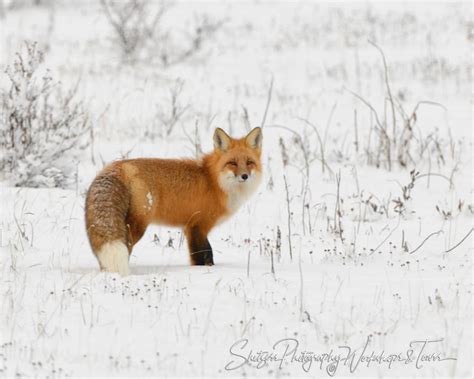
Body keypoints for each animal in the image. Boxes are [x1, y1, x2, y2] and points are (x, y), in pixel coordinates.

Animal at [85, 127, 262, 276]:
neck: (213, 181)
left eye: (249, 162)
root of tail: (116, 167)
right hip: (136, 226)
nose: (244, 176)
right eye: (232, 163)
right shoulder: (197, 226)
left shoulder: (191, 227)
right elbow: (204, 255)